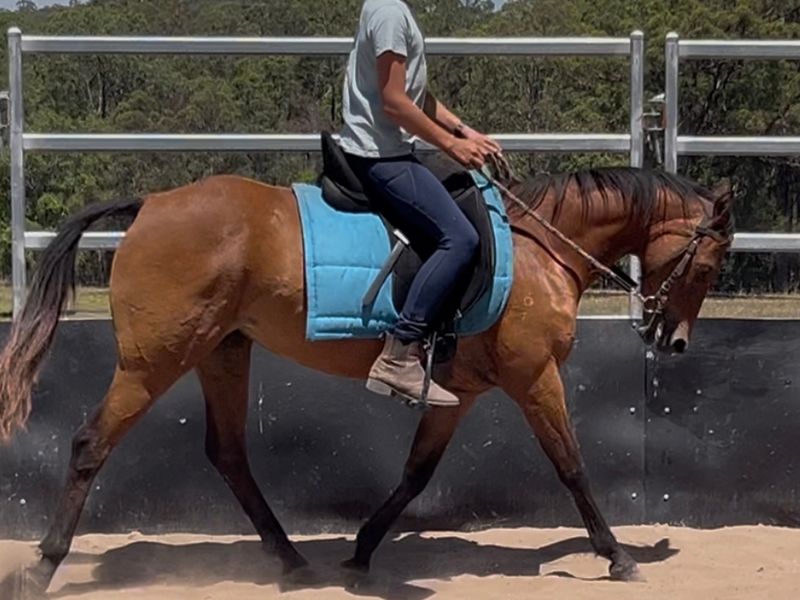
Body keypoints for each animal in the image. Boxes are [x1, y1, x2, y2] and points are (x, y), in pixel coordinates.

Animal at [0, 164, 733, 595]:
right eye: (710, 263)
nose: (672, 341)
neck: (537, 250)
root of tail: (151, 204)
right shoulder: (534, 378)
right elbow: (573, 466)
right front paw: (617, 555)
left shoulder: (459, 393)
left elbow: (415, 475)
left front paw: (361, 552)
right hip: (155, 359)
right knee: (91, 444)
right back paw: (43, 565)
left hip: (223, 351)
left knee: (229, 454)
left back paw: (292, 561)